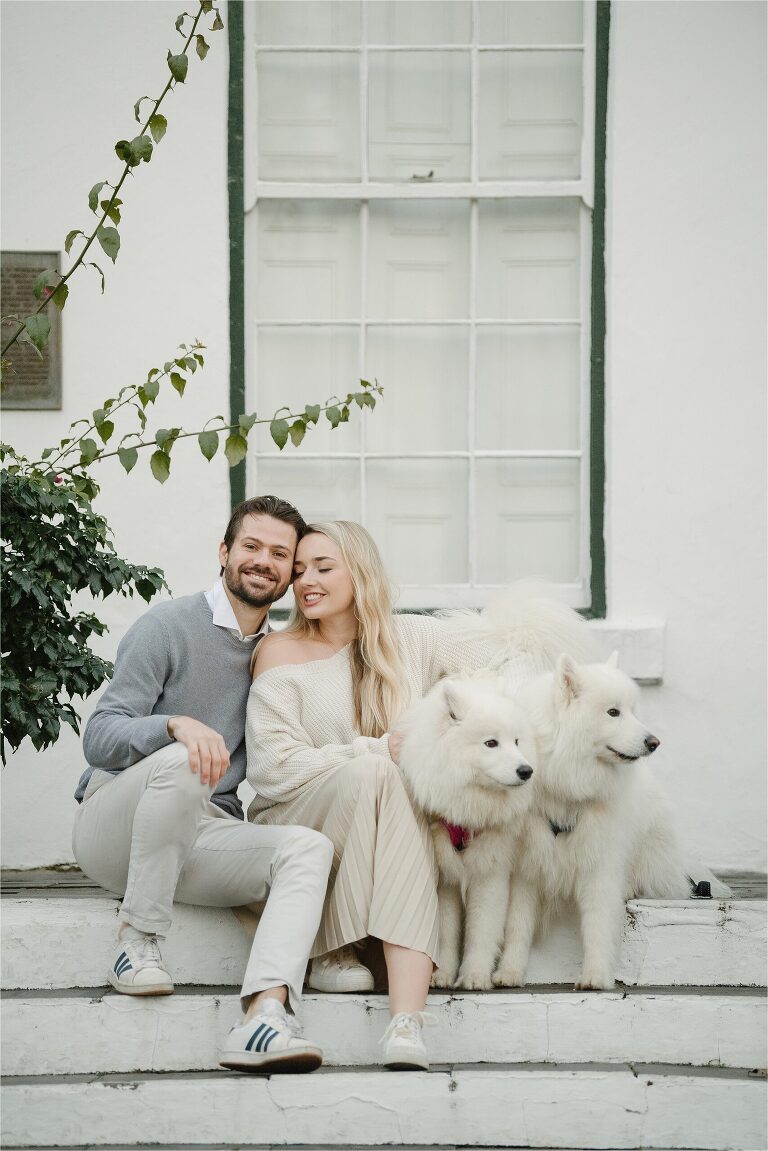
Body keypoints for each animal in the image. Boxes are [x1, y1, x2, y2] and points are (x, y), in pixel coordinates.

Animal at [398, 675, 535, 990]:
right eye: (491, 743)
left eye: (517, 741)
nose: (527, 770)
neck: (468, 807)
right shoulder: (445, 877)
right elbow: (446, 932)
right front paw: (443, 974)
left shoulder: (491, 872)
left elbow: (481, 930)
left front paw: (474, 975)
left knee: (519, 926)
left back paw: (509, 973)